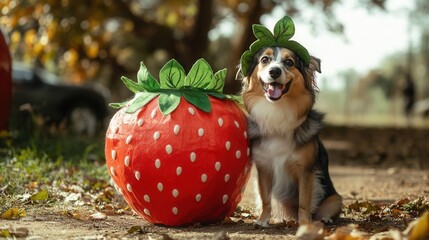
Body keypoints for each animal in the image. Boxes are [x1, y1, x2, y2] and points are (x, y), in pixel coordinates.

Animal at [239, 46, 342, 226]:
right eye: (264, 60)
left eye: (289, 62)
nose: (274, 71)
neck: (277, 110)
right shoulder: (264, 168)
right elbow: (266, 199)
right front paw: (262, 220)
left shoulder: (306, 171)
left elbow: (304, 201)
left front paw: (305, 224)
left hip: (335, 199)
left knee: (325, 210)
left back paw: (325, 219)